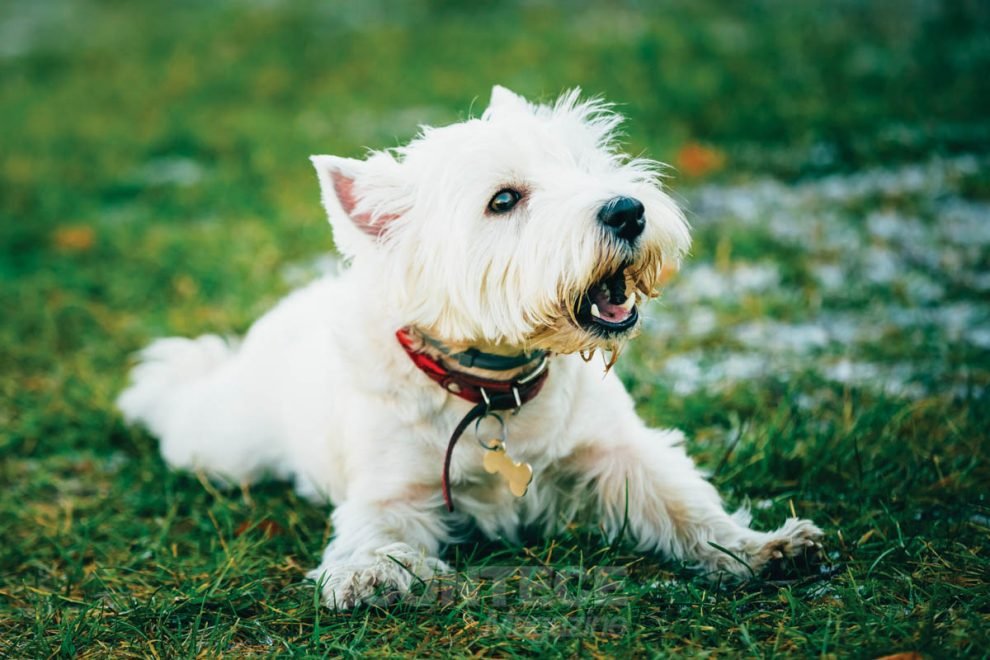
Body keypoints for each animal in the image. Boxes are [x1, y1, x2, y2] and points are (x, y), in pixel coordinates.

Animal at [120, 86, 824, 608]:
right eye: (504, 200)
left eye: (584, 167)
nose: (628, 210)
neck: (495, 388)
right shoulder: (392, 491)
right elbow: (373, 531)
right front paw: (371, 573)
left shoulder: (616, 452)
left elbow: (684, 503)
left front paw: (766, 547)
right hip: (221, 443)